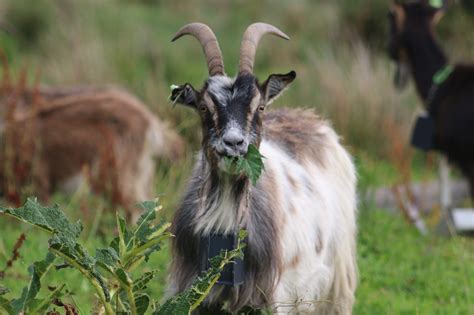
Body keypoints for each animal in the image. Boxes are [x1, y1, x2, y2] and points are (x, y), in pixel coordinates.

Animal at [168, 22, 358, 315]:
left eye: (259, 106)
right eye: (203, 107)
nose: (234, 143)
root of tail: (312, 119)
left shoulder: (272, 295)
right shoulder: (193, 291)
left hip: (336, 277)